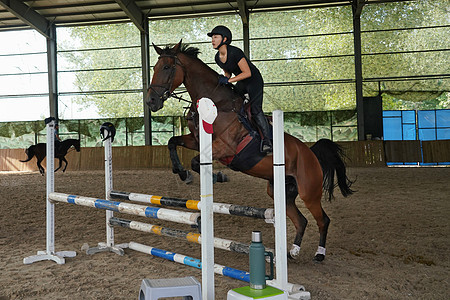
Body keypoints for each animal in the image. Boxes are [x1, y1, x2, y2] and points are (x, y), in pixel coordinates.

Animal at [146, 41, 354, 262]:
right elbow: (172, 142)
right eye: (154, 68)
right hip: (280, 191)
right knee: (301, 221)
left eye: (166, 67)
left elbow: (196, 161)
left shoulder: (224, 147)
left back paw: (319, 254)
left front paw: (216, 177)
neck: (216, 104)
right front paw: (182, 173)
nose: (151, 101)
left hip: (309, 192)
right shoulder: (197, 141)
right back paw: (292, 252)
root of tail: (311, 154)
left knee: (323, 220)